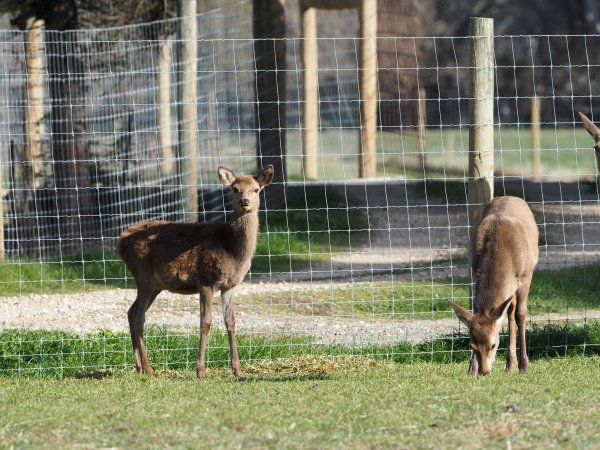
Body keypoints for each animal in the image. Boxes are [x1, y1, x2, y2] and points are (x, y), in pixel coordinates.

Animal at [116, 163, 274, 378]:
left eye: (256, 189)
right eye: (235, 189)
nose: (244, 201)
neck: (231, 249)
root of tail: (120, 242)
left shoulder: (230, 286)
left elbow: (231, 322)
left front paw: (237, 369)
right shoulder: (206, 281)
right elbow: (205, 322)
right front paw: (200, 370)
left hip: (155, 284)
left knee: (131, 312)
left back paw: (139, 367)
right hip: (143, 275)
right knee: (139, 316)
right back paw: (149, 368)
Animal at [446, 197, 540, 376]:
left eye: (494, 344)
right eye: (471, 345)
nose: (484, 371)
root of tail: (511, 196)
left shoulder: (526, 276)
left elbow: (521, 314)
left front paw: (525, 365)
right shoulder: (475, 271)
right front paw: (471, 368)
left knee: (514, 313)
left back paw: (516, 364)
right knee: (509, 312)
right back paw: (510, 364)